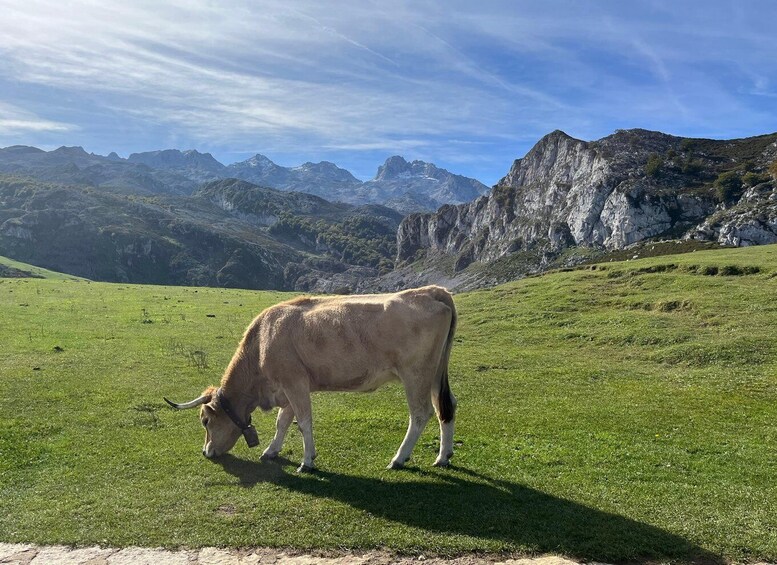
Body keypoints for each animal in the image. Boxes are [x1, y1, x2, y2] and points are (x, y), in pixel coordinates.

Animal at [164, 284, 454, 470]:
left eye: (205, 420)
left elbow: (303, 422)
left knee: (420, 413)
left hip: (415, 373)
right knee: (446, 407)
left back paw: (399, 458)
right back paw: (443, 456)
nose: (206, 452)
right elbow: (283, 422)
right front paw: (271, 451)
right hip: (435, 372)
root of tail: (431, 290)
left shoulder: (294, 383)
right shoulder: (289, 388)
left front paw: (307, 461)